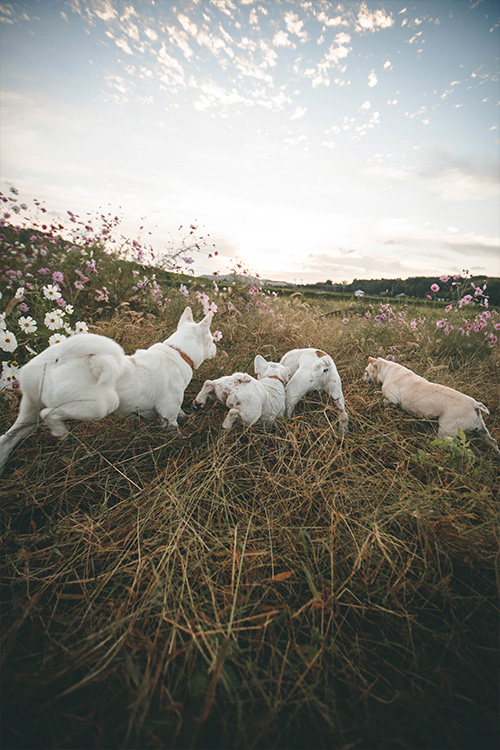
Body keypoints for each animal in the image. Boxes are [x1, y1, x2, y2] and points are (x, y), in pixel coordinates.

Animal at [0, 306, 218, 476]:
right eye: (211, 339)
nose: (216, 348)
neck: (178, 352)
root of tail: (61, 357)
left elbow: (181, 414)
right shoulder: (168, 416)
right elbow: (176, 431)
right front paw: (183, 441)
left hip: (29, 412)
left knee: (8, 438)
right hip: (99, 406)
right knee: (49, 414)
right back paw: (61, 432)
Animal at [364, 358, 500, 458]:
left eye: (366, 371)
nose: (363, 378)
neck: (387, 371)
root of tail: (475, 404)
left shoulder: (392, 399)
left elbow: (384, 400)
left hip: (446, 432)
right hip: (481, 430)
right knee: (492, 441)